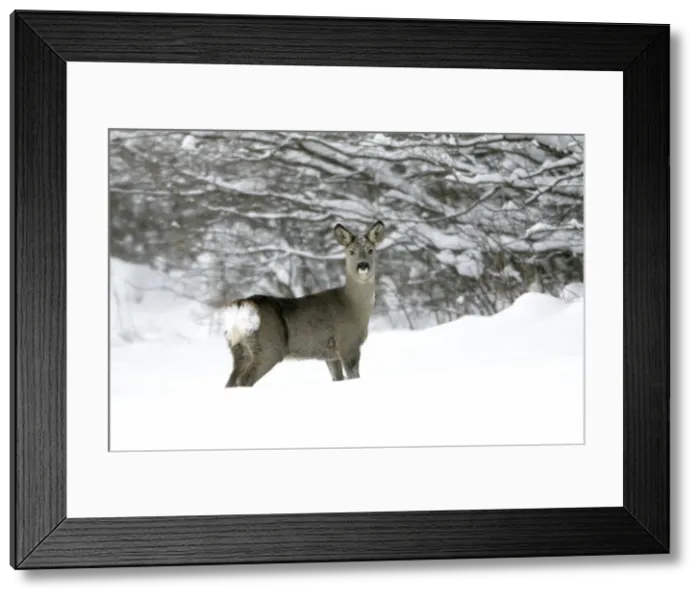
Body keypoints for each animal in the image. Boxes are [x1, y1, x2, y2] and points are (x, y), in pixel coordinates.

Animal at [220, 220, 386, 388]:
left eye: (371, 250)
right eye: (351, 251)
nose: (363, 265)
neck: (353, 306)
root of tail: (240, 308)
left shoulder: (330, 354)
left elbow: (337, 378)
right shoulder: (348, 344)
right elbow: (353, 376)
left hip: (239, 349)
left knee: (230, 381)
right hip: (268, 348)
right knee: (244, 379)